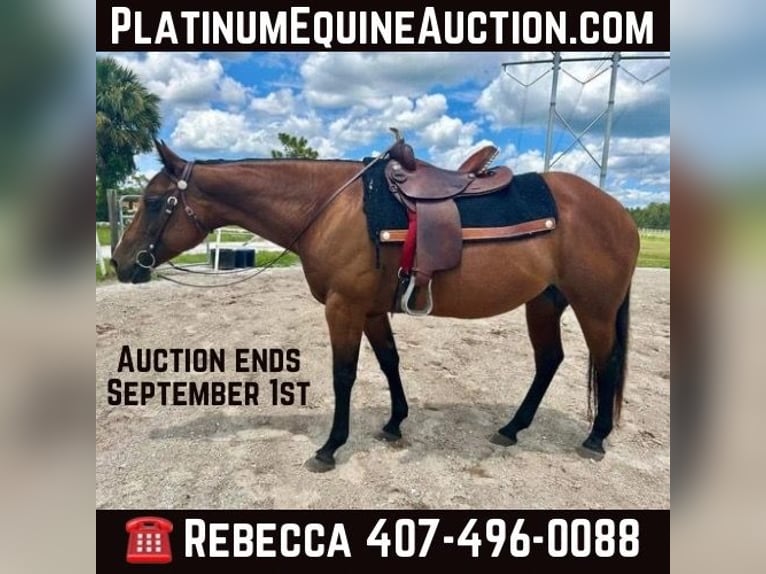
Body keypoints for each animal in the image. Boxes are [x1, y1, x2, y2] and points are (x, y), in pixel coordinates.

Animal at [110, 139, 639, 472]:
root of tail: (617, 211)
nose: (119, 261)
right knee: (550, 360)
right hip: (544, 303)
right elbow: (389, 362)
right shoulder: (369, 309)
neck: (329, 208)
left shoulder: (343, 308)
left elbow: (344, 375)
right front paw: (394, 422)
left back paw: (595, 438)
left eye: (155, 202)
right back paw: (511, 428)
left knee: (606, 361)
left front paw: (330, 447)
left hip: (594, 308)